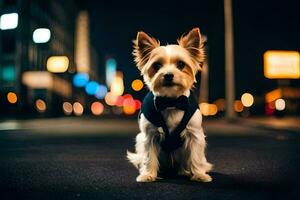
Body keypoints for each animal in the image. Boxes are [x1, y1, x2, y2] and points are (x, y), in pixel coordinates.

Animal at [127, 28, 213, 183]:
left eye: (181, 65)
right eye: (157, 66)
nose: (168, 75)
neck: (171, 102)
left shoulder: (194, 135)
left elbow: (195, 156)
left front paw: (199, 175)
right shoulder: (149, 136)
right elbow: (149, 157)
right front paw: (148, 175)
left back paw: (185, 171)